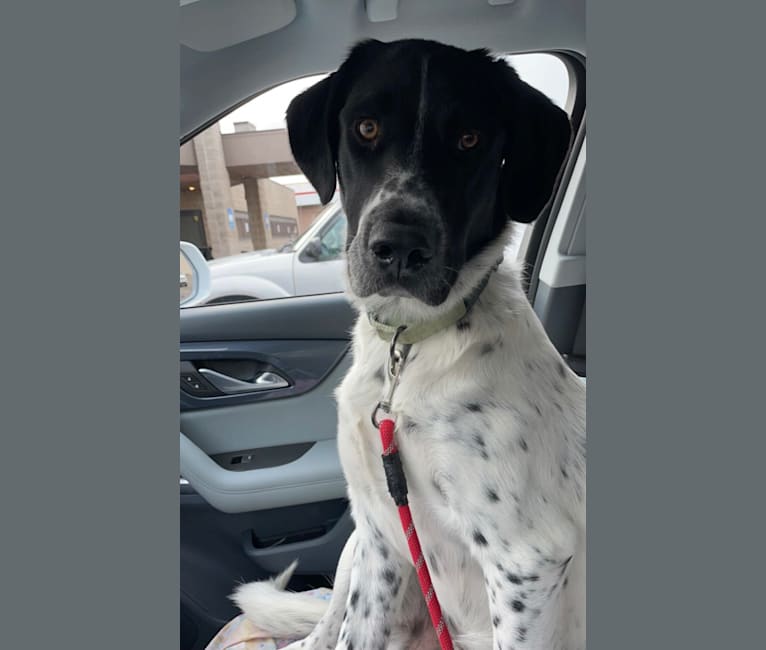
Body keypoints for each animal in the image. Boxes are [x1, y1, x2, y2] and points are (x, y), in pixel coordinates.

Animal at [231, 39, 584, 648]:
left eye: (469, 139)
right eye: (366, 127)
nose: (399, 247)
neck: (410, 345)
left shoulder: (528, 562)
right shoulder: (383, 539)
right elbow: (359, 632)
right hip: (357, 551)